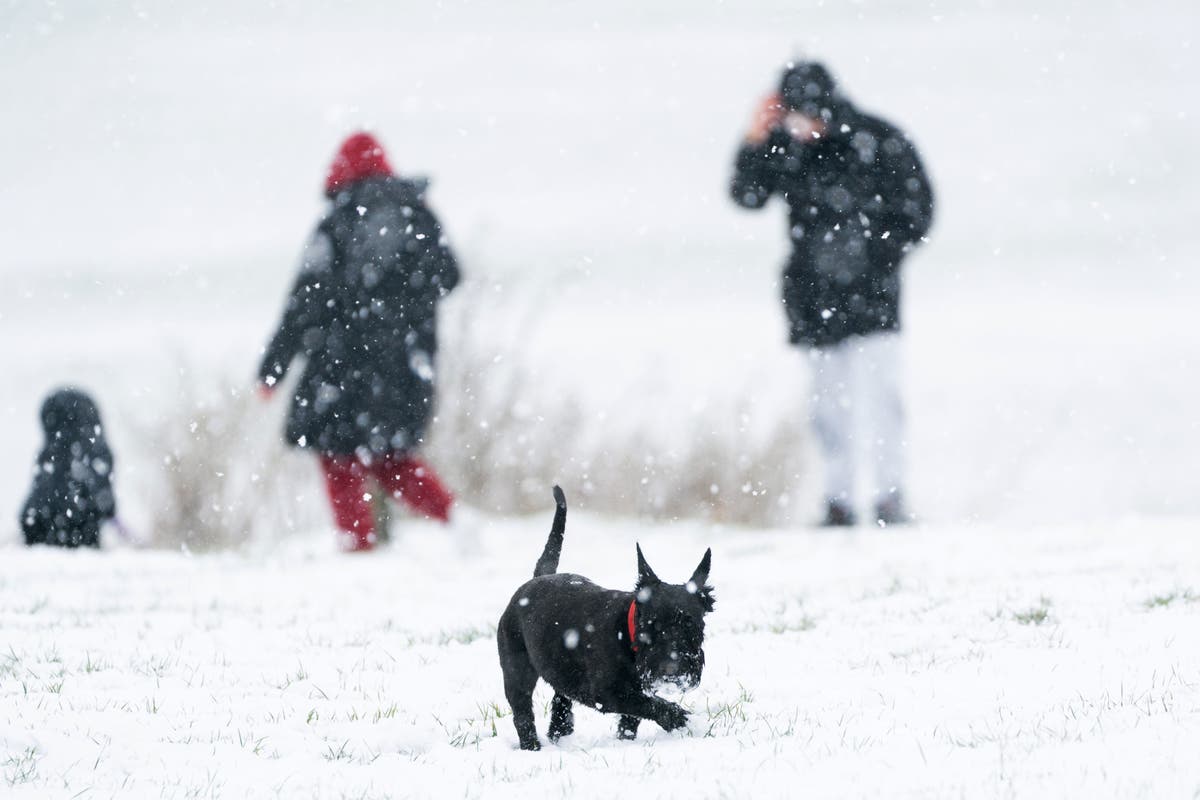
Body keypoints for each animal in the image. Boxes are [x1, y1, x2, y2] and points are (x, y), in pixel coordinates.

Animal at [494, 484, 710, 753]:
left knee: (560, 701)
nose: (672, 669)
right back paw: (532, 746)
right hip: (516, 670)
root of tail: (535, 579)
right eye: (649, 625)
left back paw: (560, 735)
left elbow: (633, 717)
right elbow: (645, 704)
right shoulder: (605, 693)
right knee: (522, 711)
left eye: (690, 624)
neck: (627, 634)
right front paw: (680, 718)